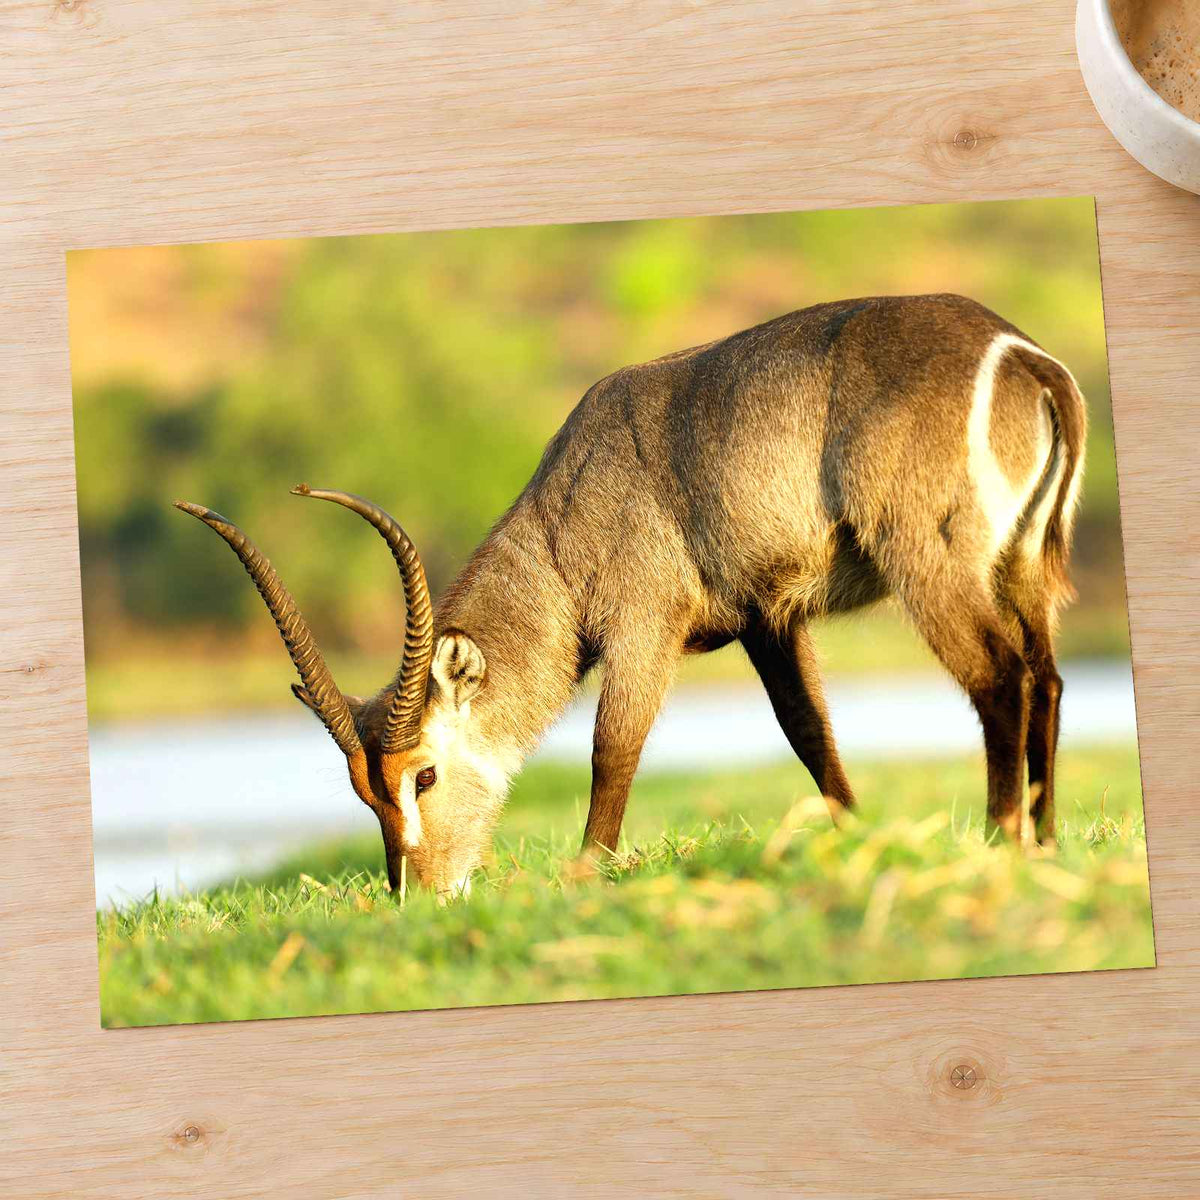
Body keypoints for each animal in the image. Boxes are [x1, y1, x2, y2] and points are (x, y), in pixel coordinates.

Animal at [177, 293, 1085, 897]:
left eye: (423, 775)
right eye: (365, 791)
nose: (418, 895)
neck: (562, 519)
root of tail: (1019, 353)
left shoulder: (645, 628)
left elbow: (613, 747)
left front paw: (587, 868)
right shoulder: (769, 619)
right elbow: (809, 734)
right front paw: (854, 835)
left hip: (931, 563)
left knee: (998, 677)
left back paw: (1002, 839)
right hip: (1024, 565)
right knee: (1045, 676)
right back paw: (1045, 839)